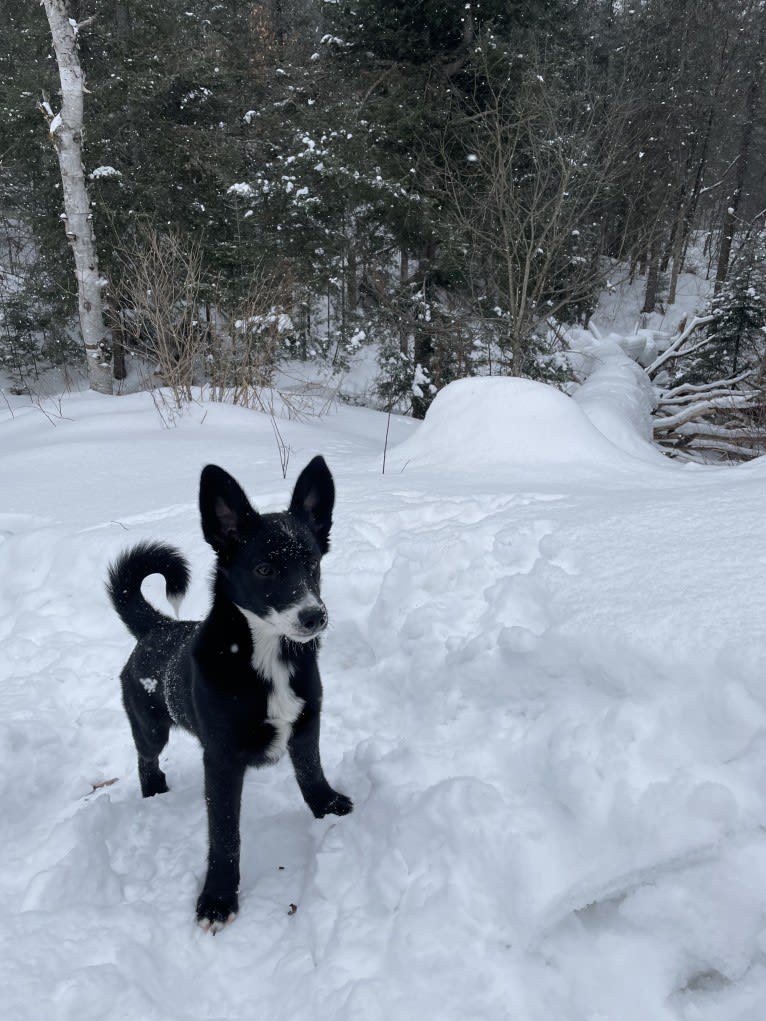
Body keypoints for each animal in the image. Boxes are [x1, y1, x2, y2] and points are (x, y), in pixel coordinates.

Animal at [106, 459, 353, 931]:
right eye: (264, 570)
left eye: (313, 562)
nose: (315, 616)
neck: (267, 657)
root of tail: (157, 627)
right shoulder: (220, 758)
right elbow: (224, 833)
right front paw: (218, 899)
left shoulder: (305, 724)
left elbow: (311, 772)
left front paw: (327, 806)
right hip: (150, 726)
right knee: (146, 759)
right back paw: (155, 795)